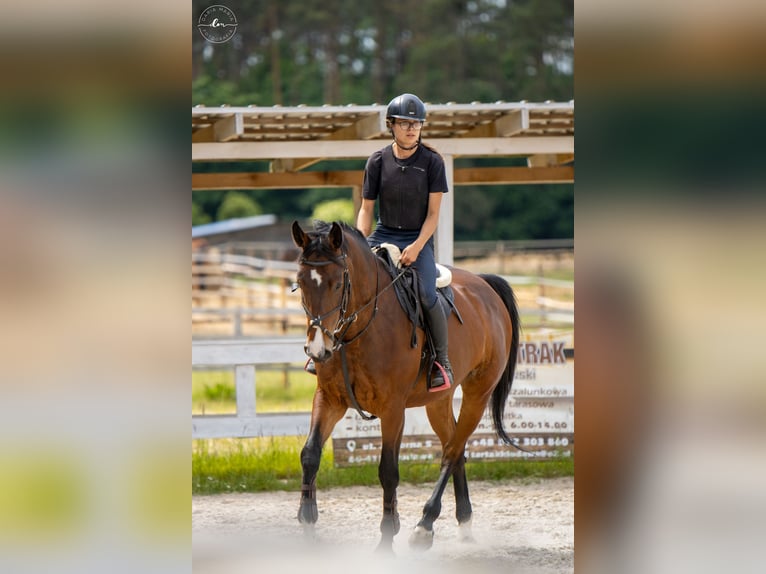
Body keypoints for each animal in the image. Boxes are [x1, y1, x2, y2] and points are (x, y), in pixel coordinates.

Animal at [291, 220, 520, 552]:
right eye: (300, 283)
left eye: (337, 284)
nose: (318, 349)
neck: (360, 331)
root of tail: (484, 285)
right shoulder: (330, 399)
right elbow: (310, 454)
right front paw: (307, 521)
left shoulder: (392, 409)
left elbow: (388, 470)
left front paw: (387, 537)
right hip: (438, 401)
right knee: (455, 446)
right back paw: (463, 523)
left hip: (478, 394)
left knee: (451, 452)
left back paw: (424, 525)